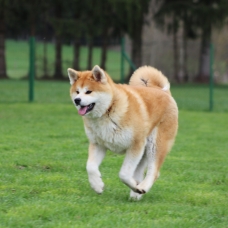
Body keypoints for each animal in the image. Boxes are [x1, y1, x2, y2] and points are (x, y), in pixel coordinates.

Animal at [67, 65, 178, 200]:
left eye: (88, 91)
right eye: (77, 92)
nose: (77, 100)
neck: (109, 109)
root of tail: (163, 91)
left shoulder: (135, 145)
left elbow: (124, 174)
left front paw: (135, 185)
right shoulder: (98, 144)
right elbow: (90, 167)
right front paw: (97, 185)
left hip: (155, 145)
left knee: (153, 172)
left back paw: (142, 187)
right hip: (145, 151)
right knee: (139, 172)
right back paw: (135, 194)